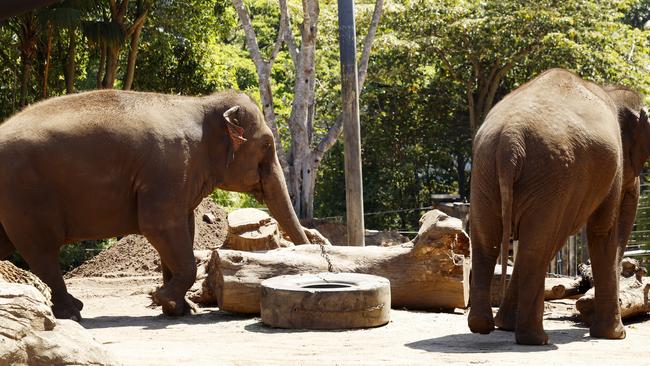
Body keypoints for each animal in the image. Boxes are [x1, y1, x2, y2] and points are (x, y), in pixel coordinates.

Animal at [0, 88, 308, 320]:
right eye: (267, 145)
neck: (201, 104)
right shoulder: (169, 168)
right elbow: (158, 225)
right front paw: (164, 299)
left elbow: (183, 228)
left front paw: (180, 308)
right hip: (24, 195)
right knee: (42, 251)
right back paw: (72, 312)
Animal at [466, 67, 648, 344]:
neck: (608, 91)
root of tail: (511, 139)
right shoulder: (611, 168)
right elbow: (602, 230)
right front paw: (617, 335)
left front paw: (505, 325)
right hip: (552, 175)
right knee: (538, 245)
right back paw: (537, 339)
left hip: (485, 170)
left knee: (488, 241)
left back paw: (484, 325)